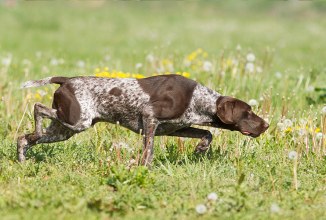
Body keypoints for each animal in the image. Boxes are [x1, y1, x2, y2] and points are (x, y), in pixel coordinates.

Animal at [16, 75, 268, 164]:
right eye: (247, 113)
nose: (266, 124)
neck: (197, 99)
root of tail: (66, 80)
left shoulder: (174, 128)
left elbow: (207, 132)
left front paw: (202, 148)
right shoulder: (149, 118)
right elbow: (149, 151)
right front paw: (144, 168)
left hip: (64, 129)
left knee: (23, 138)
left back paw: (22, 157)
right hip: (78, 120)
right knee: (38, 108)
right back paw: (35, 132)